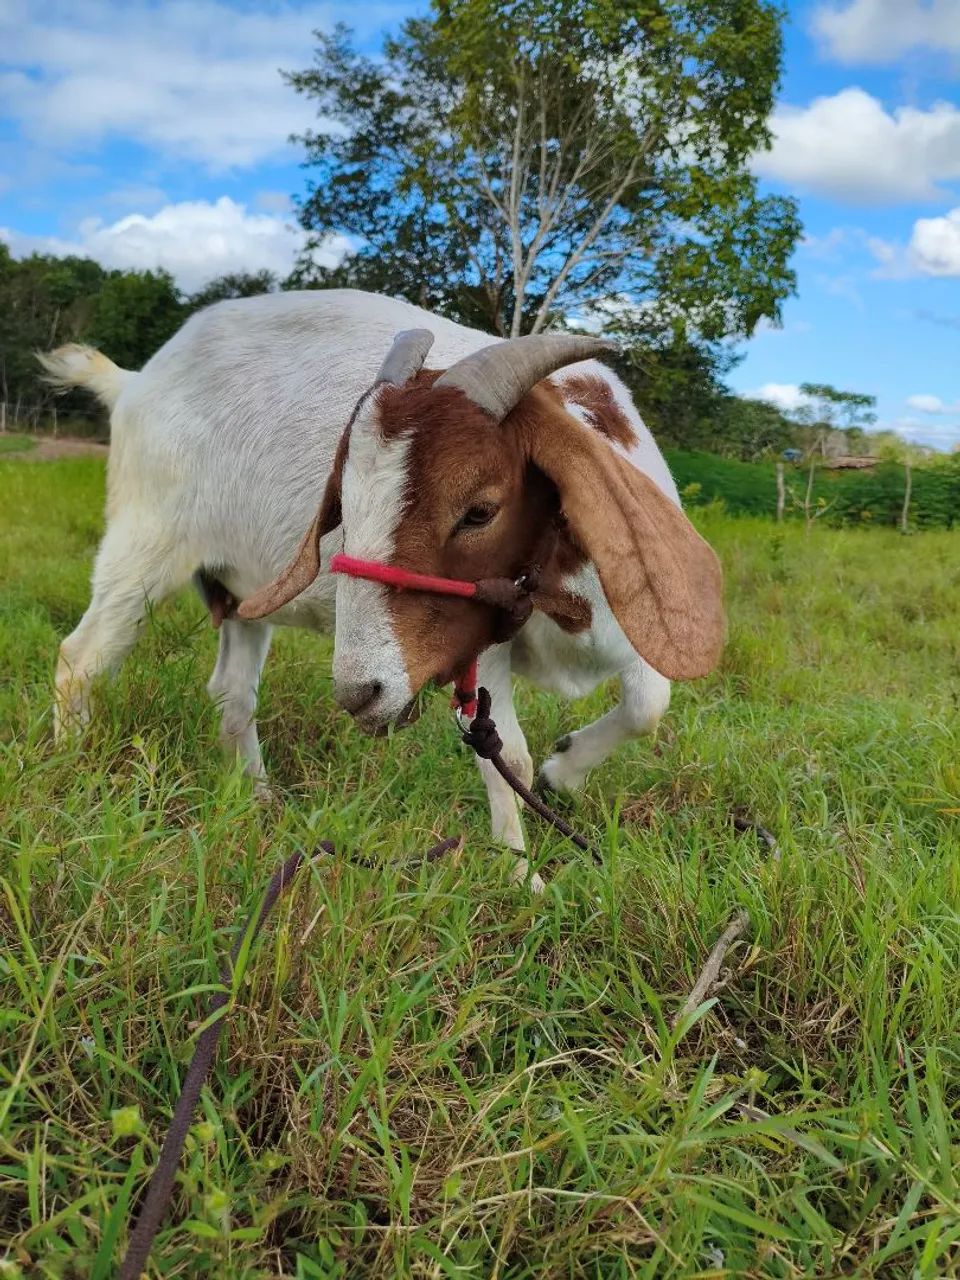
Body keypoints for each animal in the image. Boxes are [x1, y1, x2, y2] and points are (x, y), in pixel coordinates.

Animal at [40, 289, 724, 887]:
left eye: (480, 510)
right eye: (342, 503)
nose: (359, 692)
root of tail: (135, 382)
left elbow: (648, 706)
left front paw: (564, 773)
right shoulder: (482, 644)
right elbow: (508, 755)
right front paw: (521, 877)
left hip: (242, 588)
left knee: (231, 692)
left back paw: (260, 799)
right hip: (146, 539)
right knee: (81, 658)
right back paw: (70, 772)